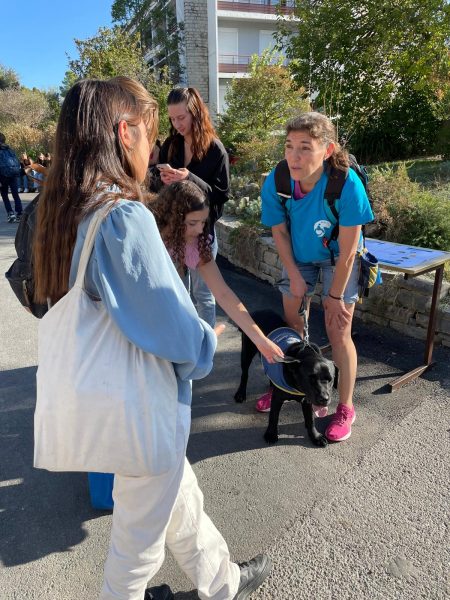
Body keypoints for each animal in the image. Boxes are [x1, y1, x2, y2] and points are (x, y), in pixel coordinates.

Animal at [236, 312, 334, 448]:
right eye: (311, 378)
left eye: (330, 380)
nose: (324, 399)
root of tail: (259, 311)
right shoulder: (278, 399)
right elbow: (274, 416)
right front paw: (271, 434)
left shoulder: (307, 400)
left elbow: (310, 420)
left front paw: (315, 437)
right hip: (247, 352)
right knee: (244, 374)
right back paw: (240, 394)